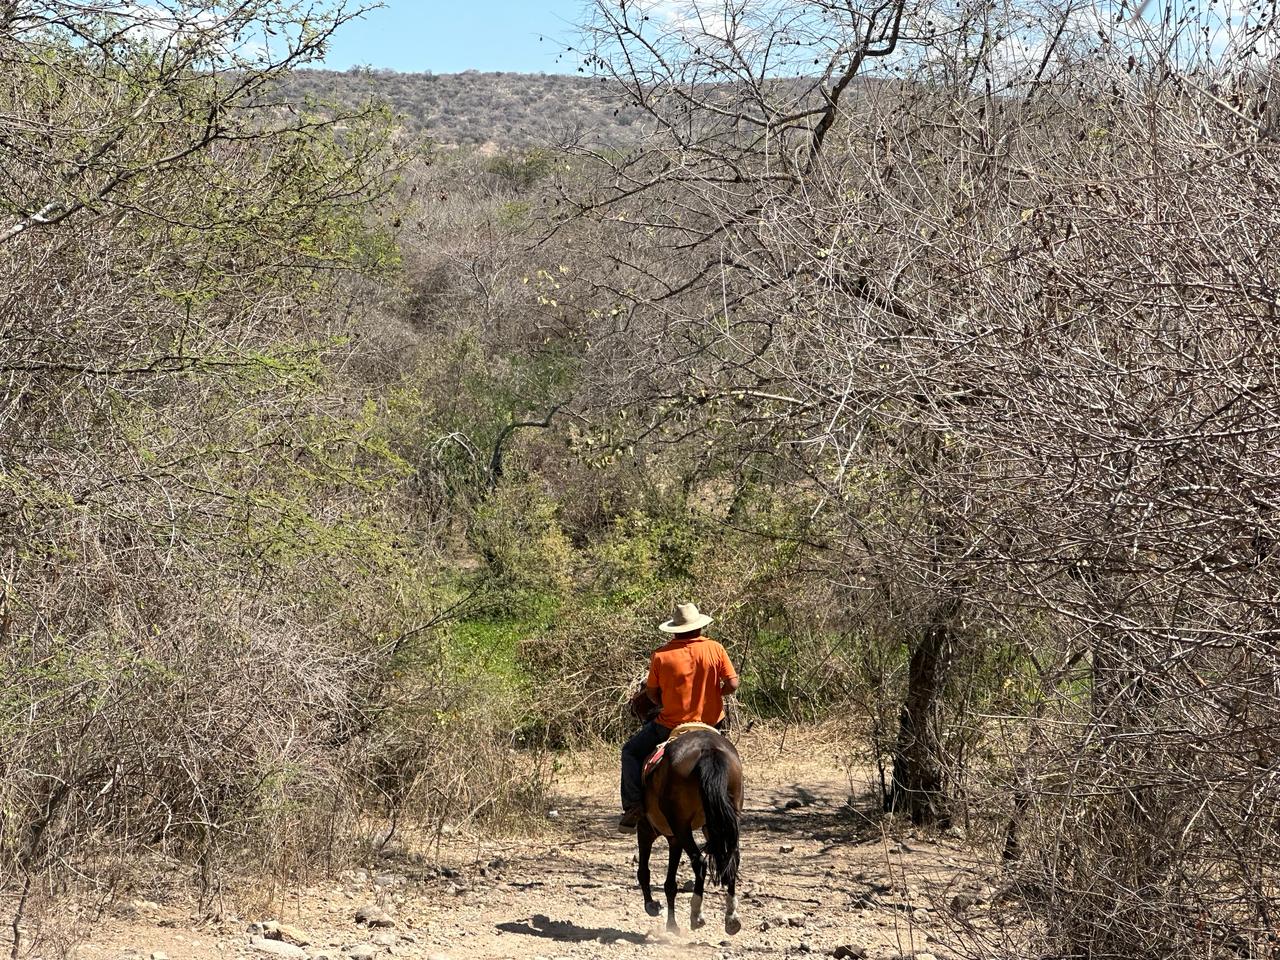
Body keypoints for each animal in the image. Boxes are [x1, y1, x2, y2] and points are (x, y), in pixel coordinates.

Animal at [635, 727, 744, 935]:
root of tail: (708, 749)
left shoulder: (647, 830)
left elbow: (644, 871)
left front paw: (651, 906)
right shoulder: (674, 839)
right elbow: (670, 884)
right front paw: (671, 924)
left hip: (682, 825)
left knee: (699, 861)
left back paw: (696, 915)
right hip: (721, 821)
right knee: (731, 858)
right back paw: (732, 917)